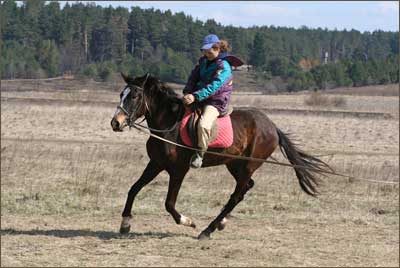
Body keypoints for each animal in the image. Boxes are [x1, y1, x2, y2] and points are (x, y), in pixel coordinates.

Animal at [111, 73, 332, 239]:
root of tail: (272, 127)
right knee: (246, 188)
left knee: (237, 194)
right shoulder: (156, 164)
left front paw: (188, 221)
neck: (168, 125)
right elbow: (133, 189)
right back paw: (220, 223)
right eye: (122, 94)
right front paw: (125, 223)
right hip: (234, 164)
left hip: (248, 165)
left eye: (134, 97)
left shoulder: (178, 170)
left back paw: (207, 230)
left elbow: (169, 203)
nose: (116, 123)